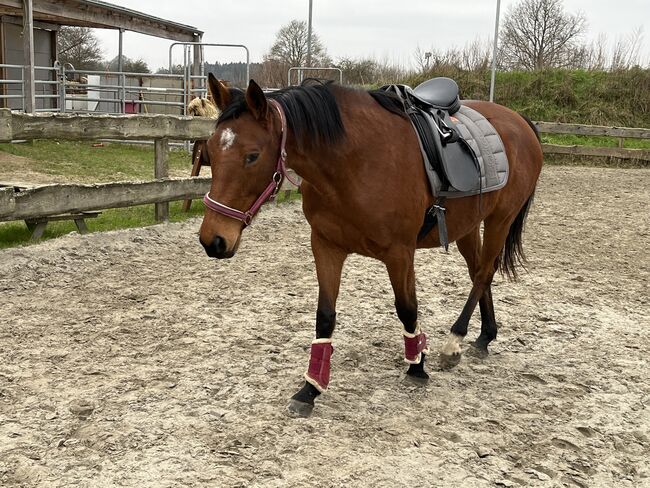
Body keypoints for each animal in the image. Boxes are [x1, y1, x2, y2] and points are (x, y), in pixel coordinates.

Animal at [197, 72, 540, 416]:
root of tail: (519, 121)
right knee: (480, 273)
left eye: (252, 156)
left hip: (500, 219)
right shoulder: (326, 245)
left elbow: (407, 308)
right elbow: (325, 316)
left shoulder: (399, 253)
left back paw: (455, 340)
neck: (353, 163)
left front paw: (417, 365)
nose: (213, 240)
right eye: (210, 151)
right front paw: (311, 388)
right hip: (468, 226)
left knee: (483, 273)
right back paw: (485, 335)